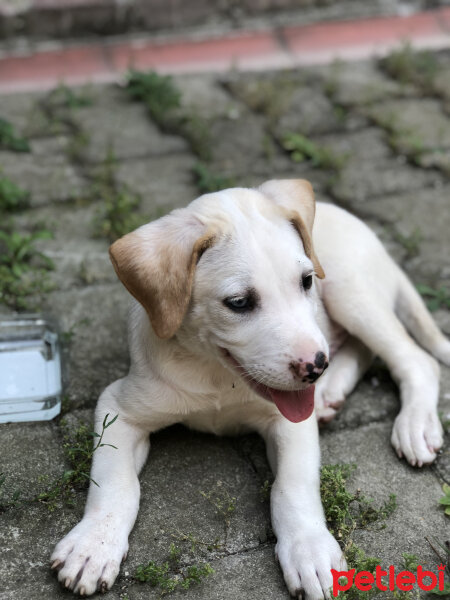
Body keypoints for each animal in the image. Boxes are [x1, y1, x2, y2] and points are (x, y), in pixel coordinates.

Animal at [50, 179, 450, 600]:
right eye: (239, 302)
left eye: (306, 281)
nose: (314, 367)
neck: (217, 376)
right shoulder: (119, 408)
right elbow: (114, 482)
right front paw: (93, 545)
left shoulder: (289, 421)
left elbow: (293, 486)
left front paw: (309, 549)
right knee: (361, 349)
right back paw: (331, 391)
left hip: (348, 291)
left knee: (415, 359)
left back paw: (413, 423)